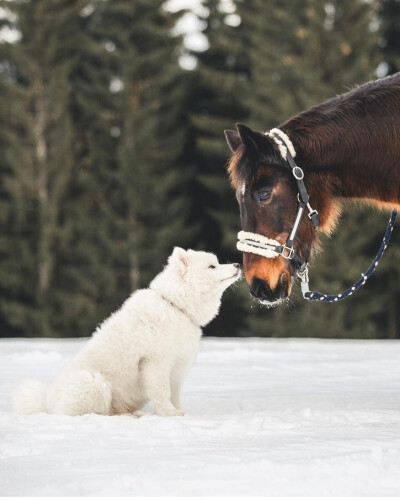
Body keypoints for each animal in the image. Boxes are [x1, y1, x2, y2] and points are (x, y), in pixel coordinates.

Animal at [11, 248, 241, 416]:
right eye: (212, 266)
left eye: (217, 262)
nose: (238, 264)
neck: (176, 306)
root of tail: (47, 402)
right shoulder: (155, 362)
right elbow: (162, 391)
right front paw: (169, 414)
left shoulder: (177, 367)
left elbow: (174, 394)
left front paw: (178, 411)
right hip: (95, 384)